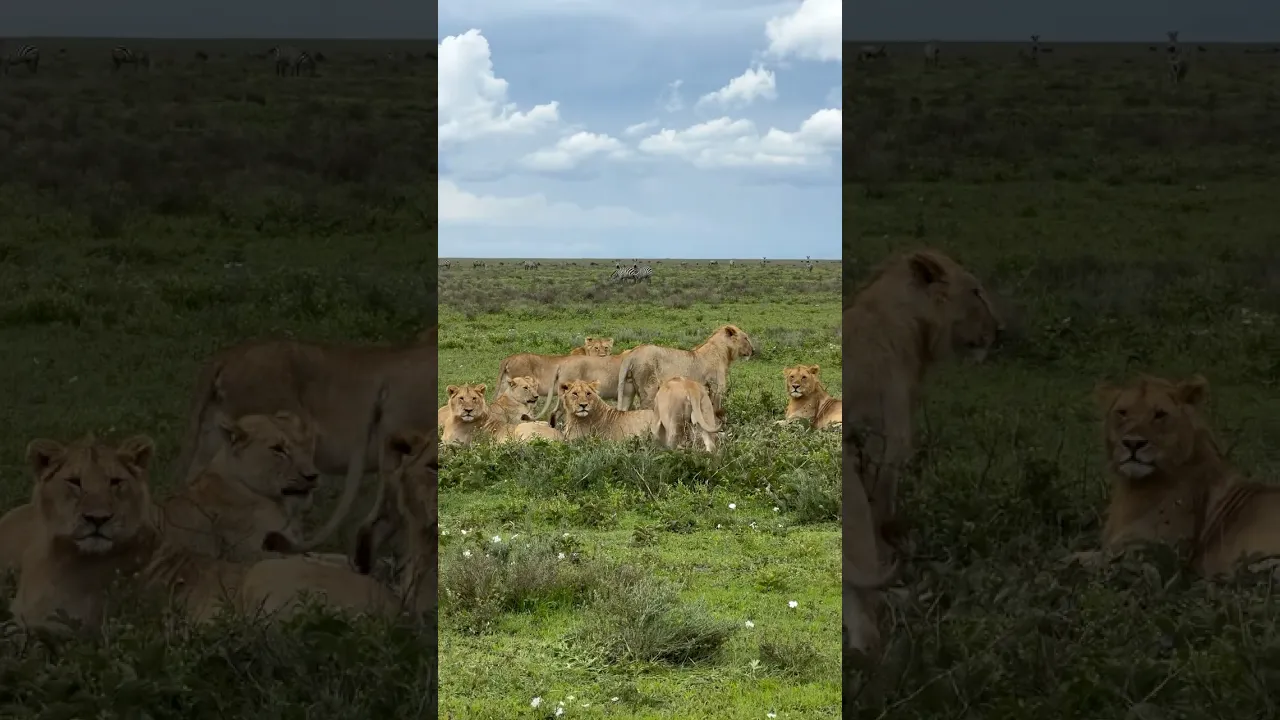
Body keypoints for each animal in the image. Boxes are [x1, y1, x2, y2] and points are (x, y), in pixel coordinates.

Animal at [615, 325, 754, 413]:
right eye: (746, 338)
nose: (753, 350)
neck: (724, 353)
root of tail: (632, 353)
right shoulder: (716, 388)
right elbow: (716, 410)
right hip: (649, 388)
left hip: (628, 389)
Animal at [1080, 373, 1280, 578]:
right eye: (1122, 412)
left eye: (1160, 414)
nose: (1133, 443)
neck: (1132, 487)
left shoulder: (1154, 555)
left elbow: (1078, 560)